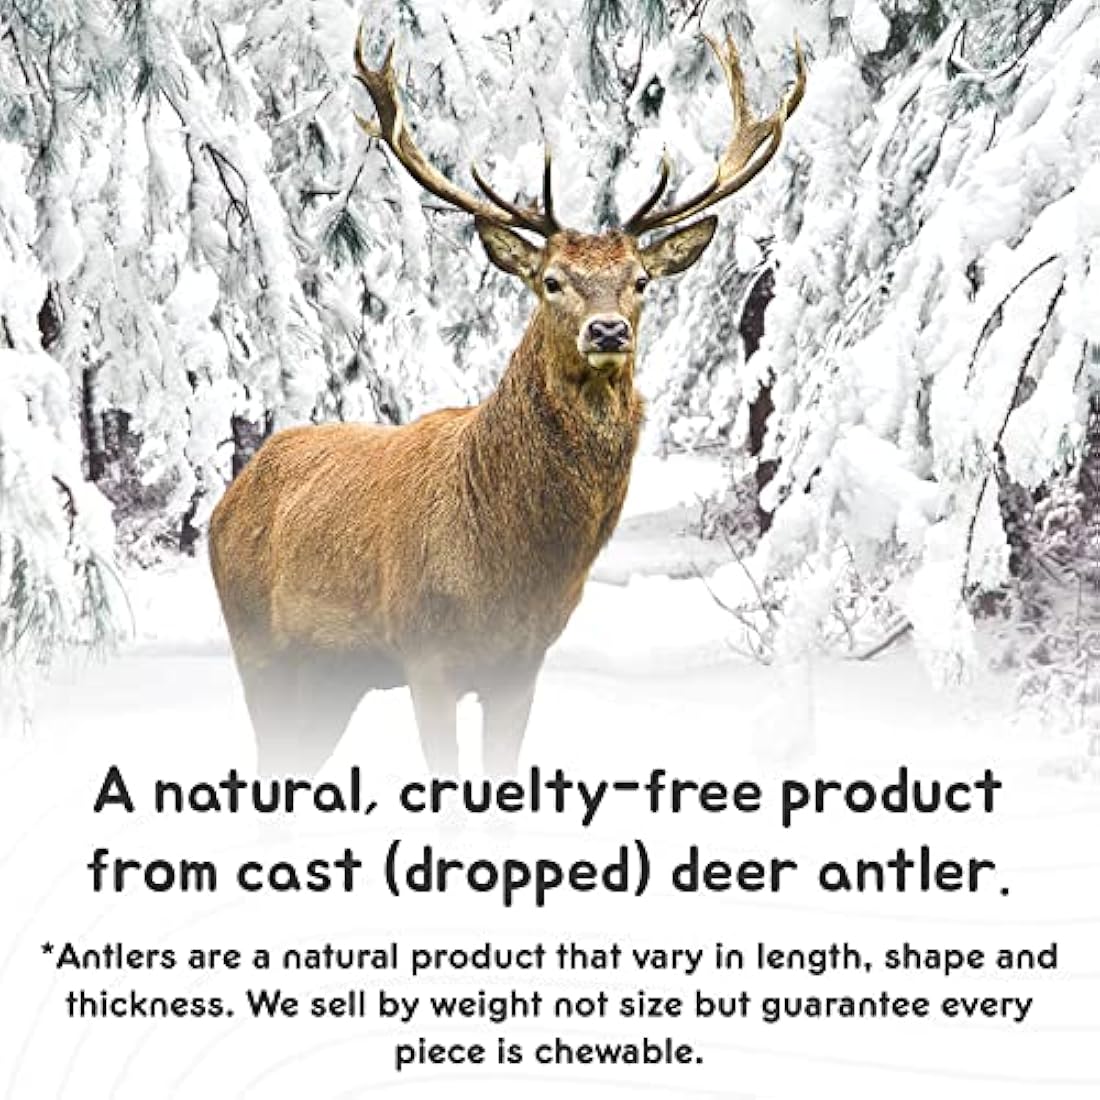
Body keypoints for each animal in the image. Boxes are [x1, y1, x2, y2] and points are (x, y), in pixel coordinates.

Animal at [208, 27, 806, 778]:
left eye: (640, 280)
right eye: (551, 280)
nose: (607, 330)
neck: (511, 563)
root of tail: (231, 495)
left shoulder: (523, 665)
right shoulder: (424, 653)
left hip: (332, 678)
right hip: (256, 643)